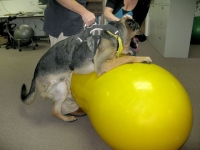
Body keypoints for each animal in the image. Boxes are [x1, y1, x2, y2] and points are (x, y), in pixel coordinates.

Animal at [20, 16, 152, 122]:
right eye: (139, 28)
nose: (146, 37)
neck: (115, 33)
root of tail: (35, 75)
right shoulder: (102, 65)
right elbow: (126, 58)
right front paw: (142, 58)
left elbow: (122, 54)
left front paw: (127, 51)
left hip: (62, 86)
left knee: (55, 111)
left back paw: (68, 117)